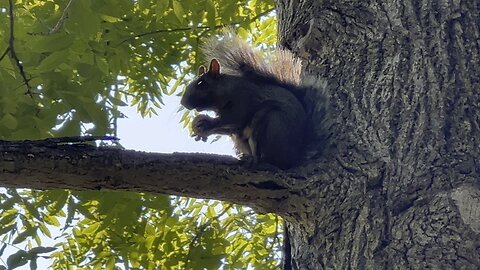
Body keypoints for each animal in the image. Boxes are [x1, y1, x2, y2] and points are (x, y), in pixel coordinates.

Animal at [181, 29, 330, 169]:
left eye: (201, 83)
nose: (183, 103)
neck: (228, 90)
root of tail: (293, 158)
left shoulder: (243, 98)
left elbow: (233, 118)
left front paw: (205, 122)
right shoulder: (234, 125)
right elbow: (228, 128)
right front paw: (199, 127)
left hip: (271, 124)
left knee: (270, 159)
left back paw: (255, 160)